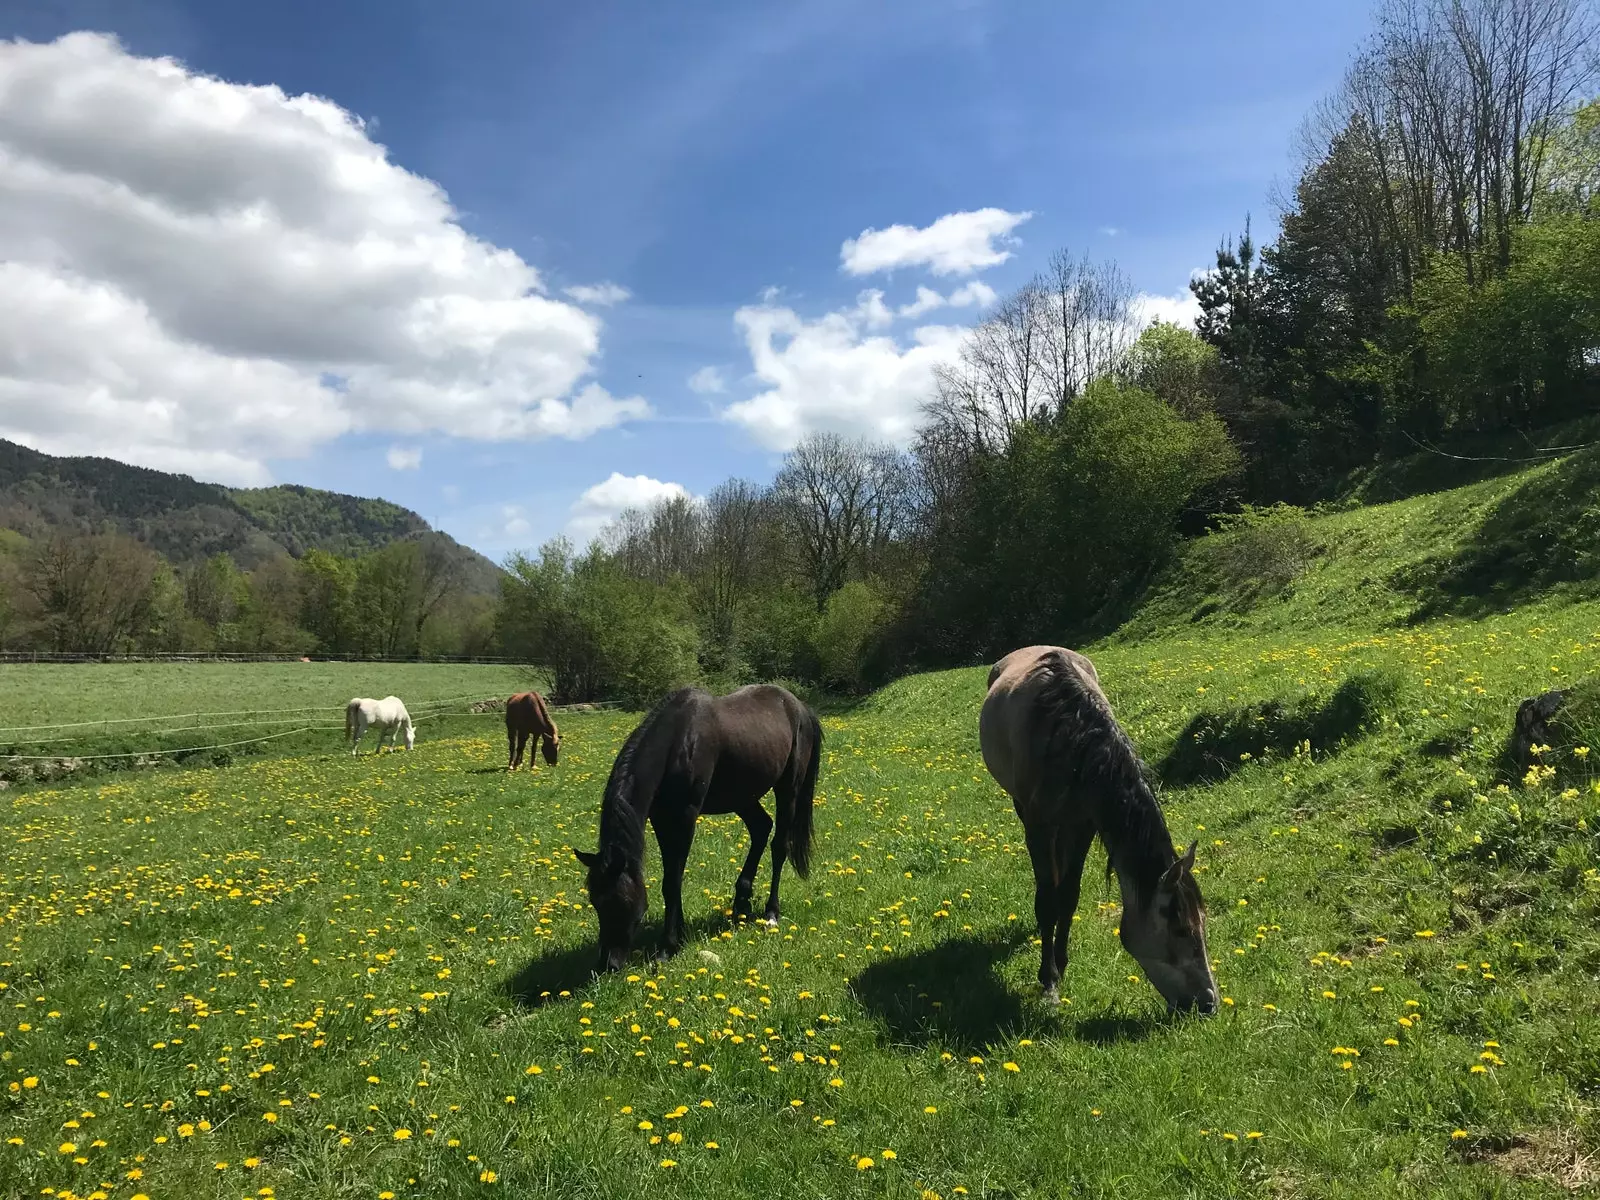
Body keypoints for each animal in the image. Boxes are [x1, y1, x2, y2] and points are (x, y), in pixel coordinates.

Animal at [576, 684, 819, 979]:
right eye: (595, 902)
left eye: (620, 901)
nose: (607, 965)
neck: (677, 743)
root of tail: (800, 707)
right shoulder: (662, 818)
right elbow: (672, 877)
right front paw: (678, 936)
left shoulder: (685, 816)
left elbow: (672, 881)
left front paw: (667, 948)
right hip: (742, 797)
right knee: (761, 828)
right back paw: (741, 903)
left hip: (788, 790)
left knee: (779, 845)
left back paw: (771, 913)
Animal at [979, 649, 1216, 1017]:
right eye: (1180, 929)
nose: (1209, 1002)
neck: (1073, 742)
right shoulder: (1038, 826)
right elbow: (1047, 899)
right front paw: (1049, 981)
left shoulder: (1083, 825)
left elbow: (1068, 895)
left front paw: (1060, 963)